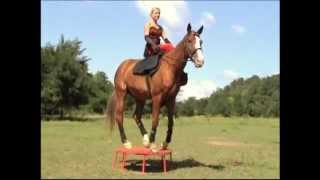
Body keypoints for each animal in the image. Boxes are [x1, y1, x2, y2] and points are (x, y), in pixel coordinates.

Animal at [106, 22, 204, 152]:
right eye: (189, 40)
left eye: (201, 41)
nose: (200, 61)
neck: (170, 68)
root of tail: (122, 66)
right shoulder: (157, 97)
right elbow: (155, 119)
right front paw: (153, 144)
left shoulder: (171, 99)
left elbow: (171, 121)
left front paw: (165, 143)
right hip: (121, 94)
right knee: (119, 117)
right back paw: (126, 142)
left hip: (140, 98)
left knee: (136, 116)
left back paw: (145, 140)